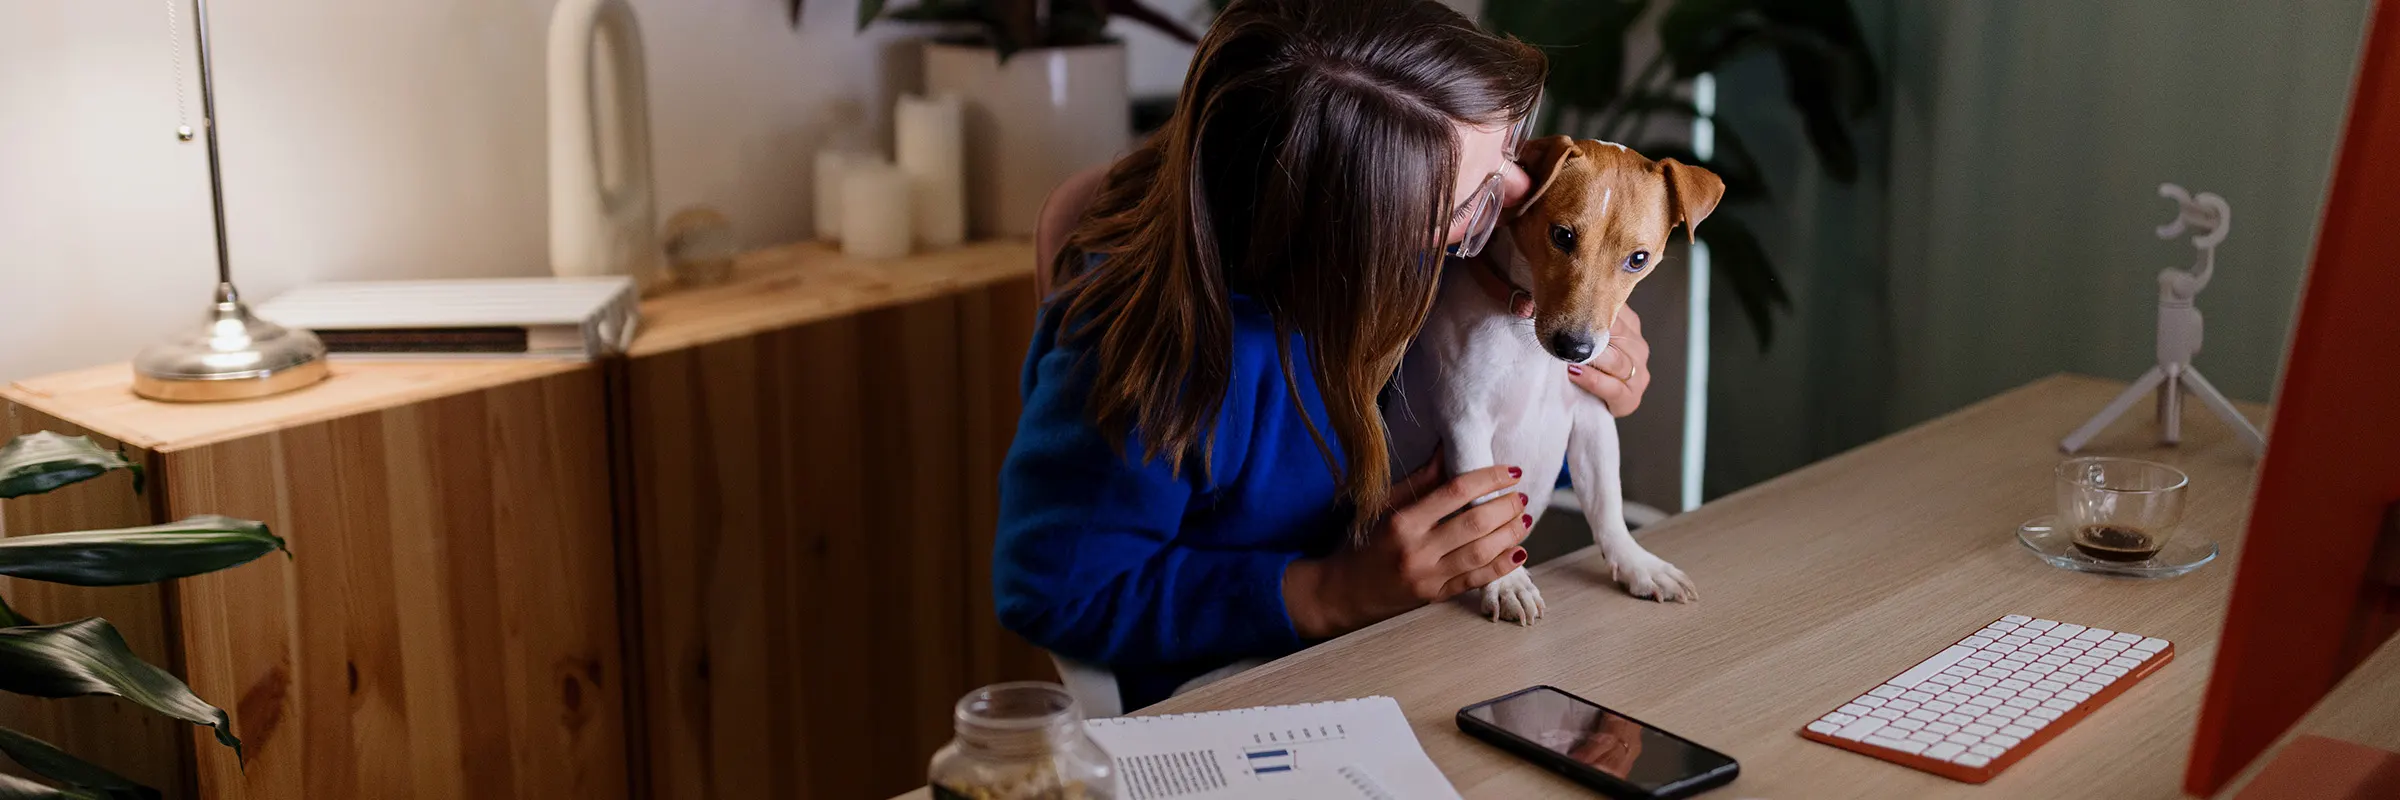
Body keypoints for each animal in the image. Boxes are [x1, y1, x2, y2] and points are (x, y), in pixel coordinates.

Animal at [1392, 135, 1728, 624]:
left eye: (1638, 259)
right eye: (1562, 236)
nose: (1575, 348)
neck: (1527, 340)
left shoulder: (1592, 419)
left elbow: (1607, 501)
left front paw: (1636, 564)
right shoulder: (1465, 423)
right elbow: (1489, 510)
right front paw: (1506, 581)